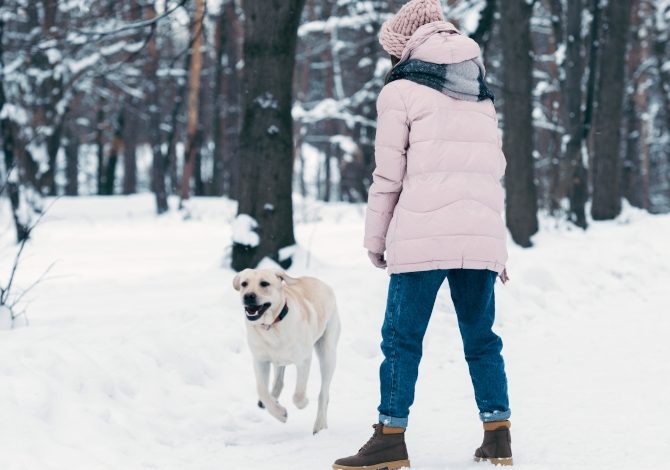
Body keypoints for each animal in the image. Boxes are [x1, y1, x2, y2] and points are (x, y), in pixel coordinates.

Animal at [235, 268, 342, 434]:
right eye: (244, 284)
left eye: (264, 283)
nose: (248, 296)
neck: (272, 325)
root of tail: (322, 283)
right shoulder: (260, 360)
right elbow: (262, 390)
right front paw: (279, 413)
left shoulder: (303, 360)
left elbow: (298, 395)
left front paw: (304, 402)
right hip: (278, 361)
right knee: (278, 382)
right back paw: (272, 400)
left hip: (327, 353)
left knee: (324, 394)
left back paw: (320, 425)